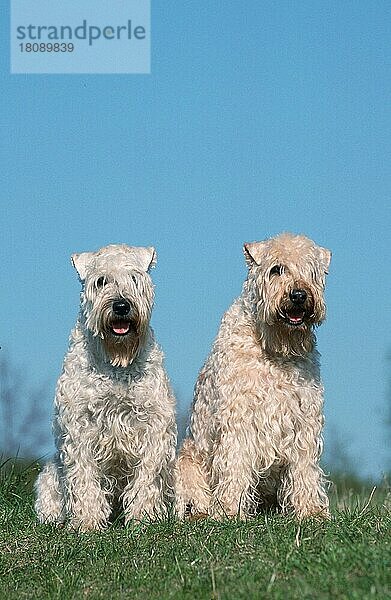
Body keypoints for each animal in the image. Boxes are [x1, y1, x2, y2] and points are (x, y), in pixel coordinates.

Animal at [35, 244, 176, 528]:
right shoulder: (80, 426)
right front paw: (87, 522)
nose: (121, 306)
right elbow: (84, 476)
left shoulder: (153, 424)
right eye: (101, 281)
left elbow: (146, 475)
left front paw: (143, 517)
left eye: (134, 278)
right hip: (50, 474)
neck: (115, 362)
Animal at [178, 233, 334, 520]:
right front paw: (230, 510)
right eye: (276, 269)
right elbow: (235, 465)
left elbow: (305, 469)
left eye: (312, 271)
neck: (275, 350)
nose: (299, 295)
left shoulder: (304, 419)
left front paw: (311, 512)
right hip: (186, 459)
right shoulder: (240, 419)